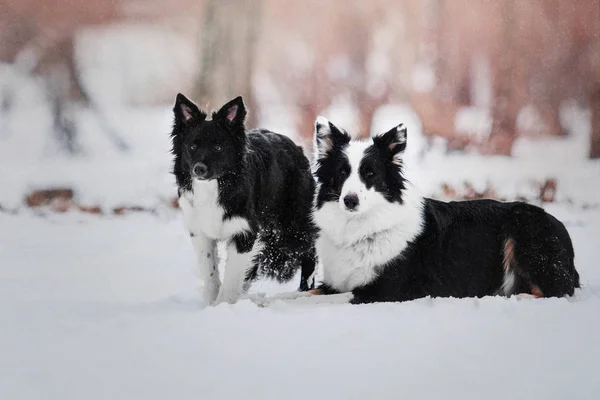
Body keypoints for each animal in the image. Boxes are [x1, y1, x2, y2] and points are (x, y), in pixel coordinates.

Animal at [170, 94, 316, 306]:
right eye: (192, 146)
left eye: (218, 147)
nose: (199, 169)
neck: (216, 187)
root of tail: (296, 148)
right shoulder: (200, 231)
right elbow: (210, 272)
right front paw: (211, 304)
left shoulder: (244, 232)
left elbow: (231, 276)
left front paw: (222, 305)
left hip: (294, 227)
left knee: (310, 252)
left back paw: (306, 291)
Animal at [312, 117, 580, 304]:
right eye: (341, 173)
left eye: (370, 173)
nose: (350, 201)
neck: (362, 229)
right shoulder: (335, 283)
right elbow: (308, 292)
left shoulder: (386, 290)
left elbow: (326, 300)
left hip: (523, 230)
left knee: (558, 290)